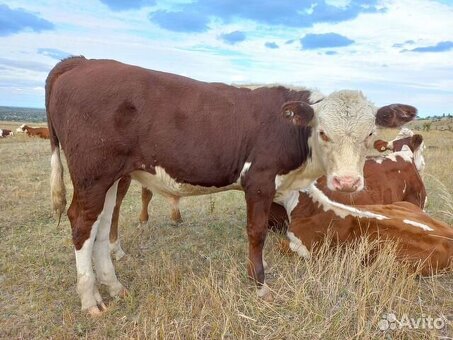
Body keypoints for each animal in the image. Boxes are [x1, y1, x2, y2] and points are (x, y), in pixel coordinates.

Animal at [45, 56, 414, 316]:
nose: (347, 181)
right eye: (323, 132)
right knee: (81, 224)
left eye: (370, 134)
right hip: (93, 176)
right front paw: (260, 285)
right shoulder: (260, 180)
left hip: (109, 179)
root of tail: (83, 62)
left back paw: (113, 286)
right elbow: (256, 232)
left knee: (101, 225)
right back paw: (91, 300)